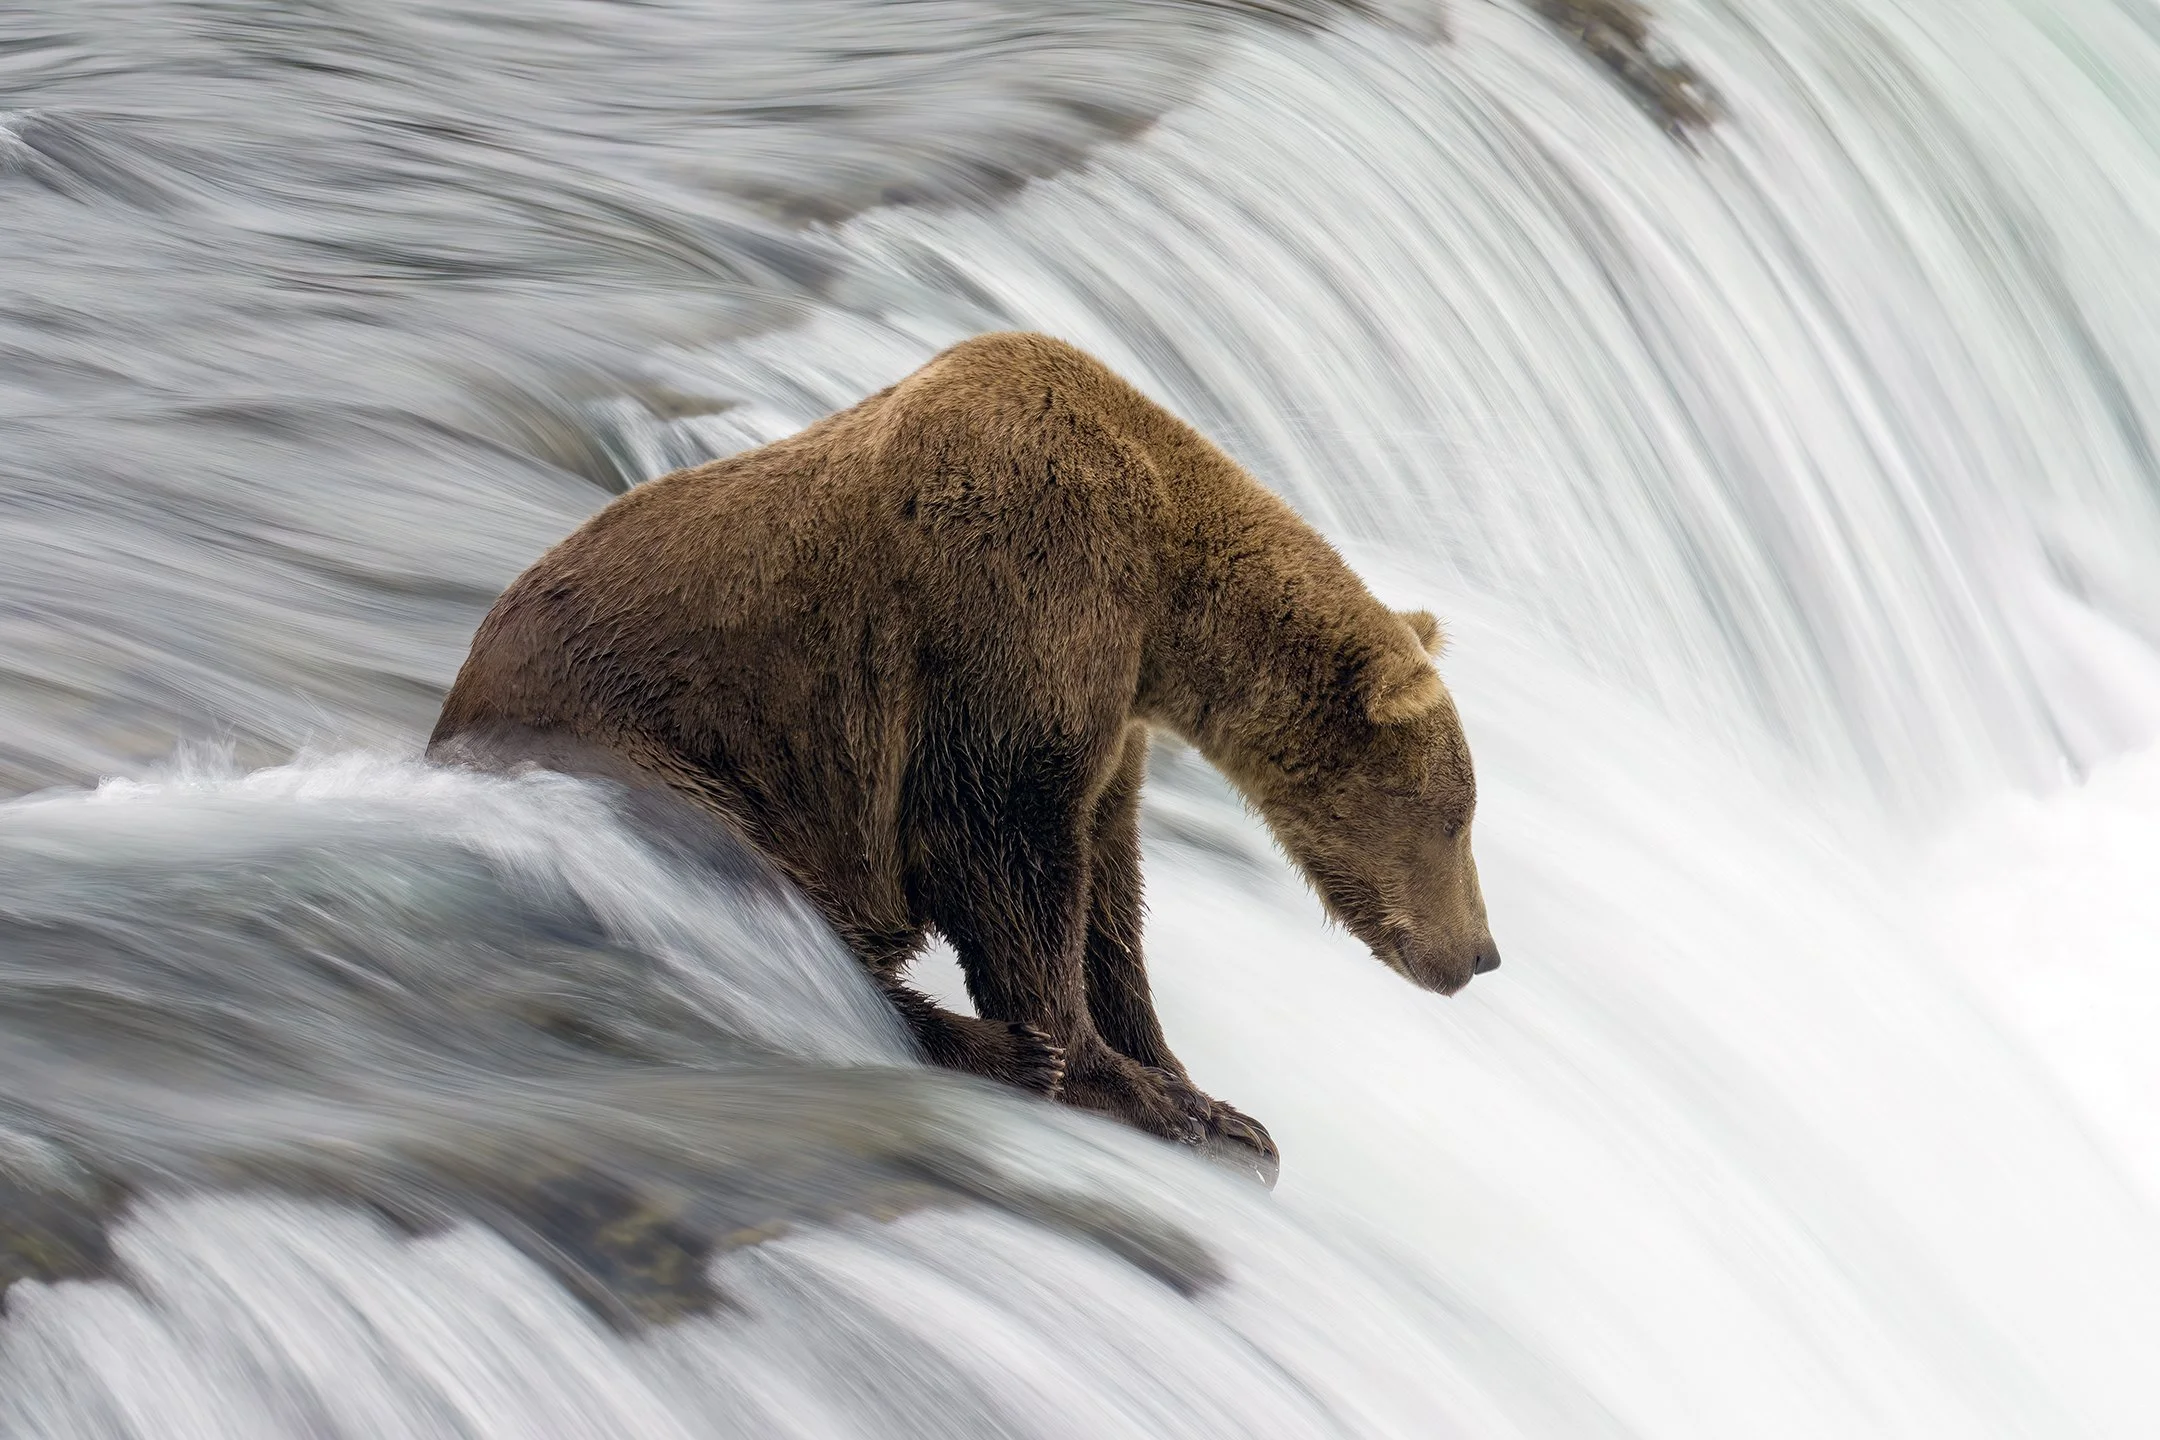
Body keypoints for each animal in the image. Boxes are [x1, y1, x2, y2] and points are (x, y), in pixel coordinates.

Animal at [429, 331, 1498, 1175]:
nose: (1481, 954)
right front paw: (1129, 1086)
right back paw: (986, 1047)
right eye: (1457, 819)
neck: (1160, 600)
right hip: (654, 754)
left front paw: (1205, 1093)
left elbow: (1106, 886)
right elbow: (1001, 850)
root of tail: (451, 706)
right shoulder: (1016, 609)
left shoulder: (1110, 713)